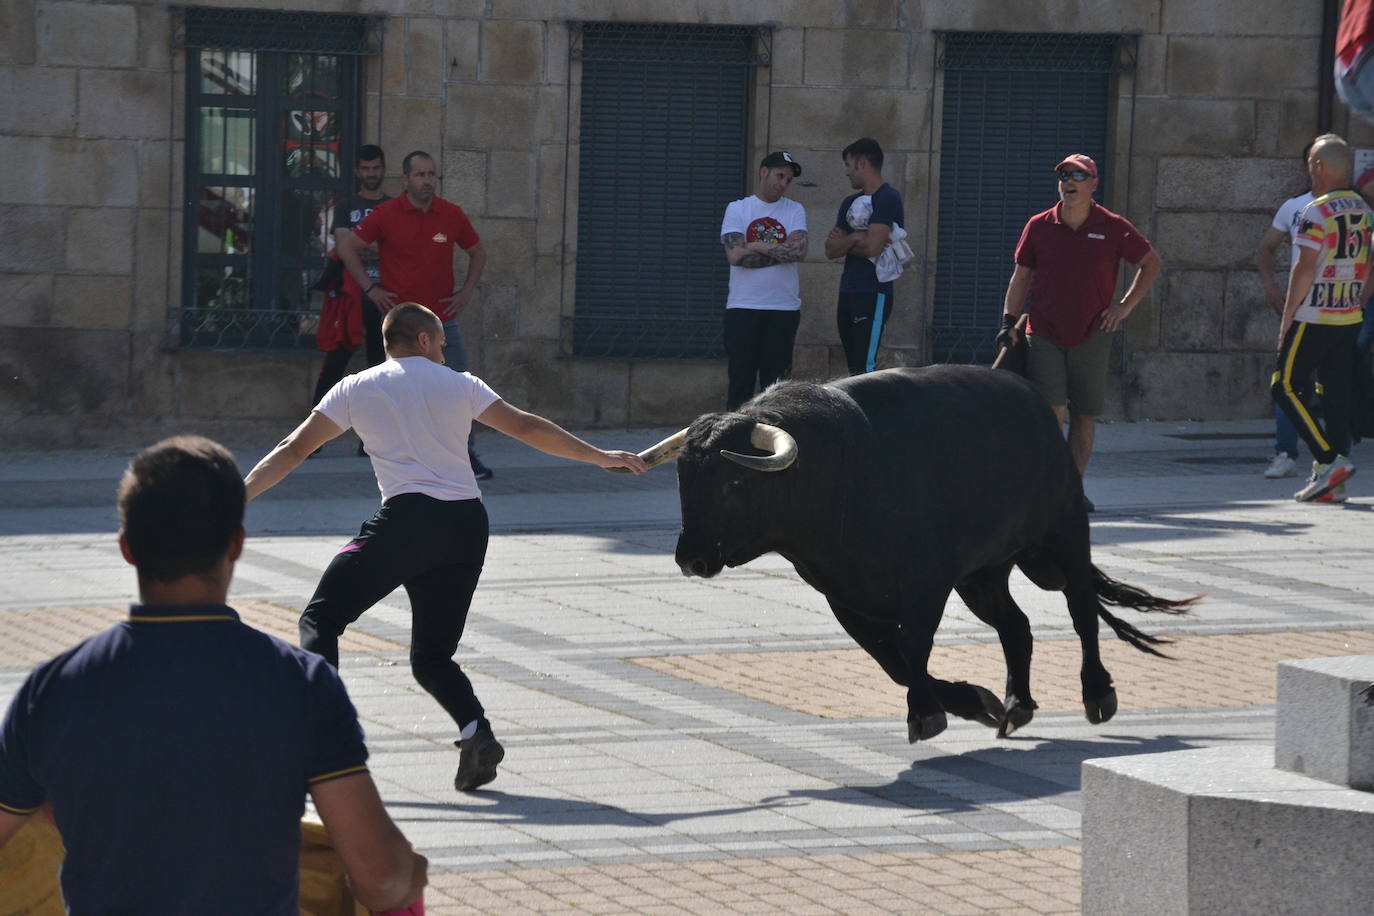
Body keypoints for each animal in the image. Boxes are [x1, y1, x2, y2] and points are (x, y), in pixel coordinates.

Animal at [621, 365, 1192, 747]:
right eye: (683, 478)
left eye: (733, 484)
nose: (691, 559)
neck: (839, 474)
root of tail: (1035, 403)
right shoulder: (843, 596)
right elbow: (891, 660)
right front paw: (972, 701)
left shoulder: (924, 585)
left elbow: (912, 648)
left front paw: (926, 715)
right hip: (984, 575)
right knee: (1017, 626)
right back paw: (1015, 706)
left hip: (1063, 535)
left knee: (1080, 611)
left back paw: (1097, 694)